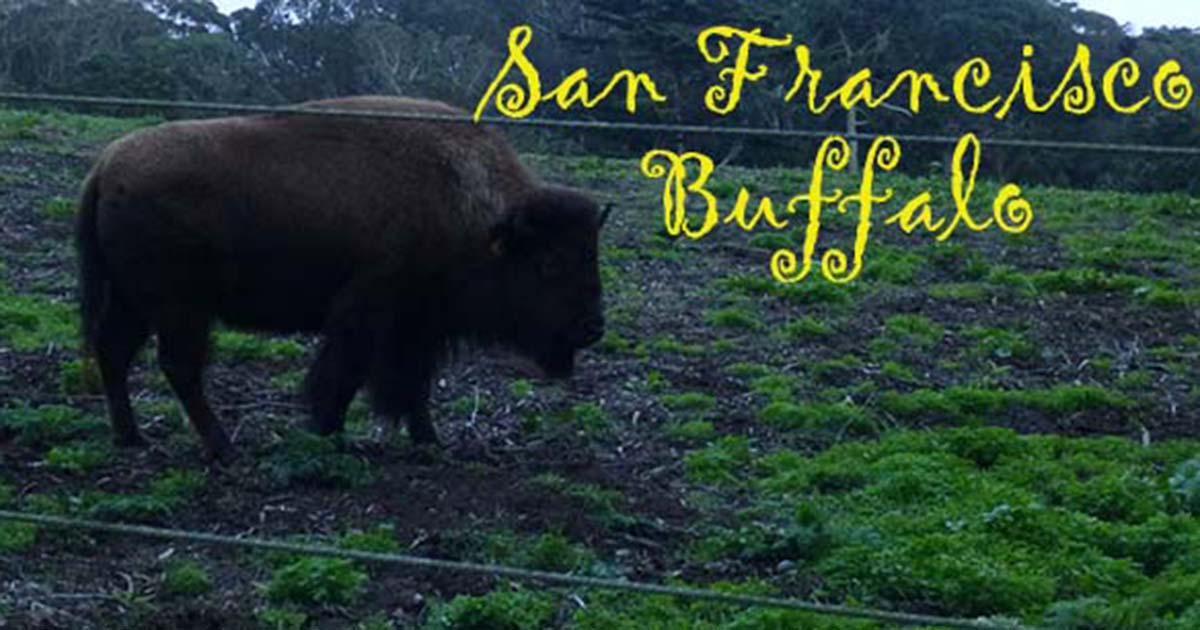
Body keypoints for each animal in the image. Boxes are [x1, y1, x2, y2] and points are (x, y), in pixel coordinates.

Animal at [76, 96, 607, 462]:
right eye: (547, 265)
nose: (592, 328)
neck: (470, 208)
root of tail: (105, 166)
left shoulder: (418, 327)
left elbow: (412, 385)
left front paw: (428, 441)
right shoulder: (370, 313)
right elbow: (348, 375)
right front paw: (328, 433)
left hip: (134, 301)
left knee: (116, 352)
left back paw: (132, 437)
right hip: (181, 308)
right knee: (179, 366)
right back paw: (224, 448)